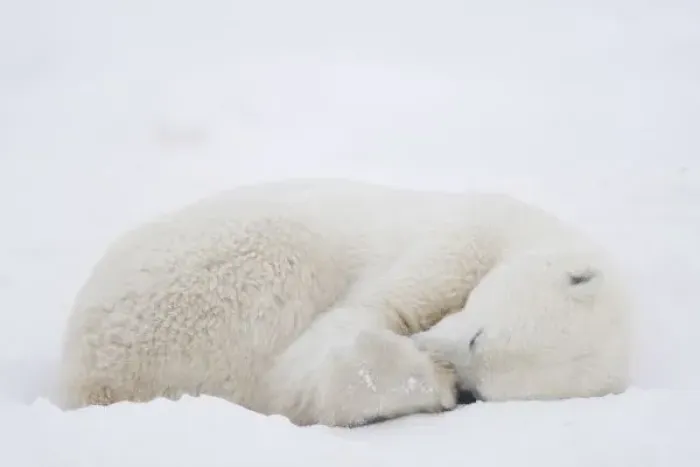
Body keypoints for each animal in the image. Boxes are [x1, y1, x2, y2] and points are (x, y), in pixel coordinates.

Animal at [55, 178, 631, 427]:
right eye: (477, 336)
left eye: (483, 390)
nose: (435, 352)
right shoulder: (459, 239)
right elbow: (359, 321)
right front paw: (416, 372)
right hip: (208, 280)